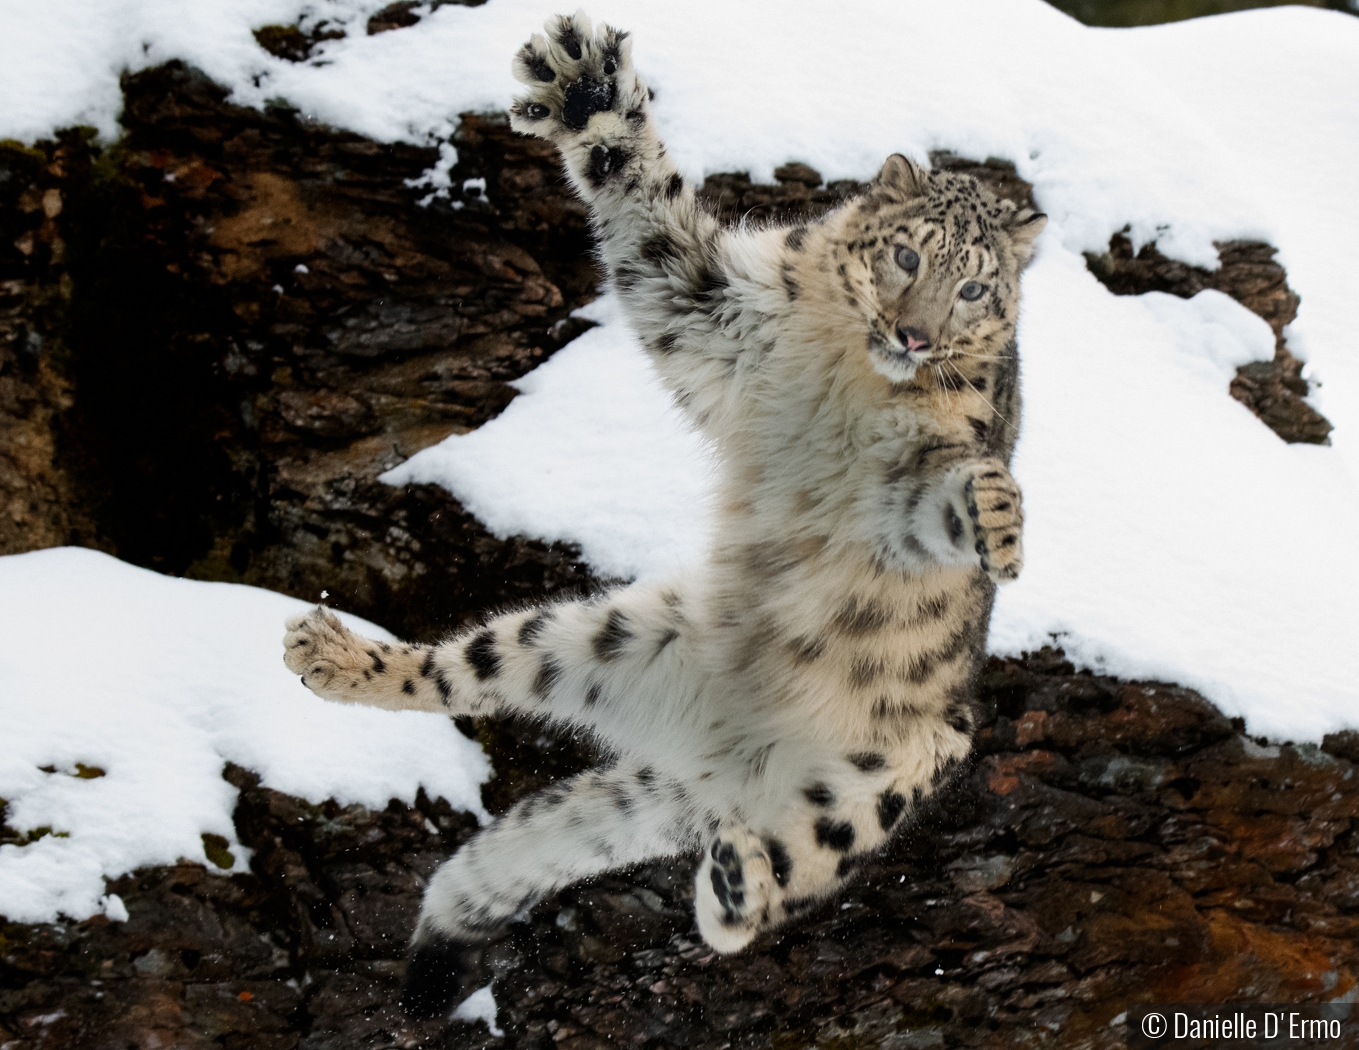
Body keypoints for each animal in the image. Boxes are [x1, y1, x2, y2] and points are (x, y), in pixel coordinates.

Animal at [275, 10, 1043, 1016]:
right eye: (907, 255)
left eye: (975, 289)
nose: (915, 336)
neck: (852, 372)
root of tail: (716, 761)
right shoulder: (716, 313)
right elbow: (646, 211)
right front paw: (585, 86)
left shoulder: (905, 482)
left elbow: (944, 499)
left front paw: (998, 519)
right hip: (593, 637)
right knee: (465, 672)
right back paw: (332, 655)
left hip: (890, 770)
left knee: (795, 867)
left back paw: (735, 886)